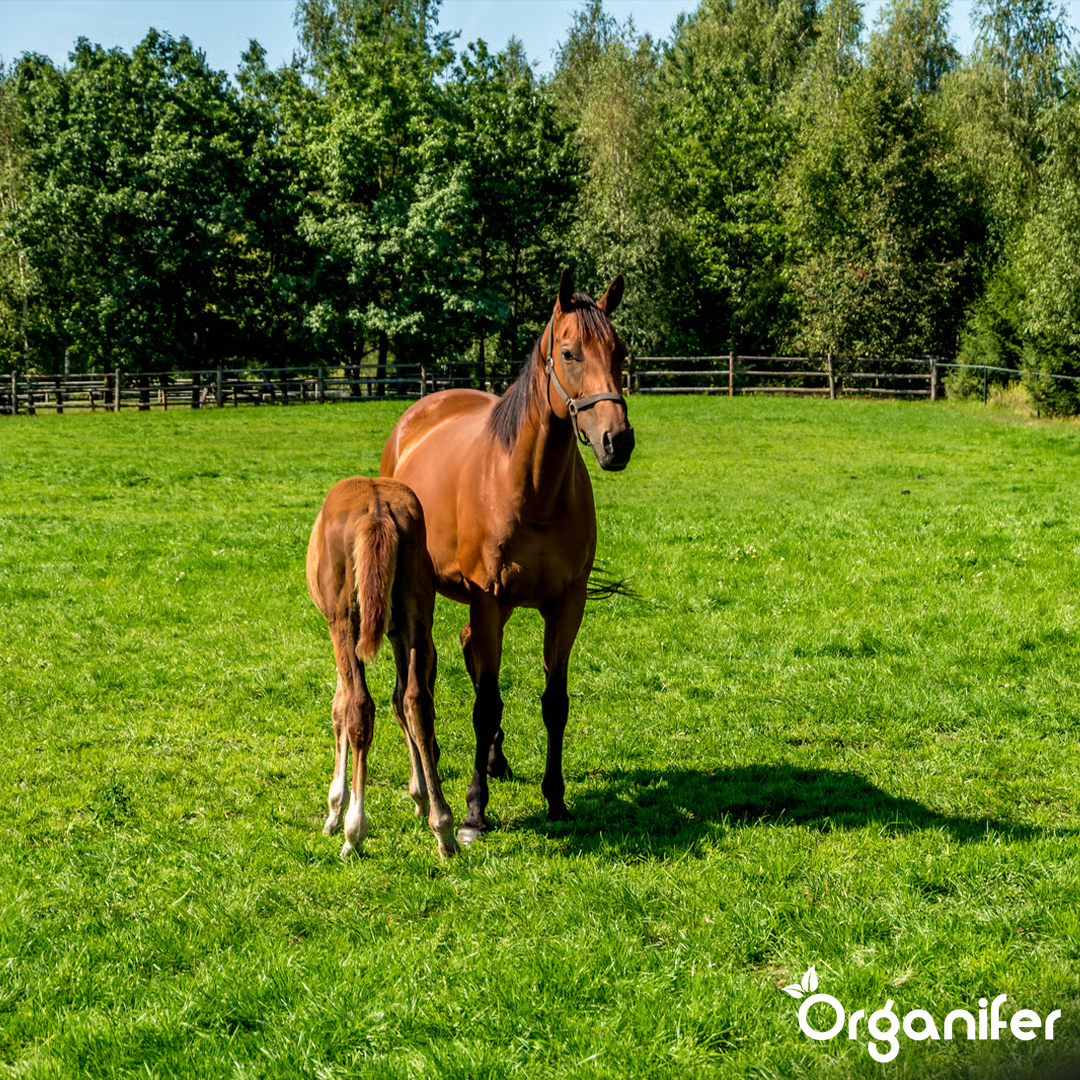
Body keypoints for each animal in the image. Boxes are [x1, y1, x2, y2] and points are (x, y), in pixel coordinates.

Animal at [306, 477, 457, 859]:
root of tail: (377, 511)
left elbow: (340, 708)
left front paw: (335, 809)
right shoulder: (399, 631)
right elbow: (401, 700)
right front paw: (420, 795)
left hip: (344, 620)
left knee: (360, 706)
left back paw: (354, 832)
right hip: (417, 617)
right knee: (418, 703)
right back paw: (444, 829)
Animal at [380, 269, 634, 843]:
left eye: (620, 351)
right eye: (569, 353)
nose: (617, 441)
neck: (531, 489)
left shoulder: (566, 605)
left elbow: (554, 703)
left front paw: (556, 800)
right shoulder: (489, 599)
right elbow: (485, 703)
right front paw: (474, 812)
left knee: (467, 651)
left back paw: (493, 758)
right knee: (418, 683)